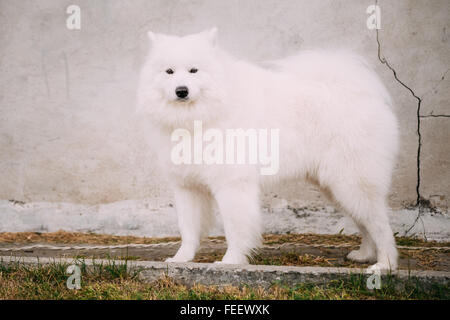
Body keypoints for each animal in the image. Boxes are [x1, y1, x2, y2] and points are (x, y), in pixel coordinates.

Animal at [135, 28, 400, 272]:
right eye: (169, 72)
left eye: (194, 71)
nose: (181, 90)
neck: (198, 117)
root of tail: (364, 94)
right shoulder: (187, 187)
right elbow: (188, 229)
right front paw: (181, 259)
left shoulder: (233, 185)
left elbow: (235, 228)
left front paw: (230, 261)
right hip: (336, 187)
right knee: (365, 224)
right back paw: (364, 255)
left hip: (352, 182)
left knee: (380, 225)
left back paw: (384, 265)